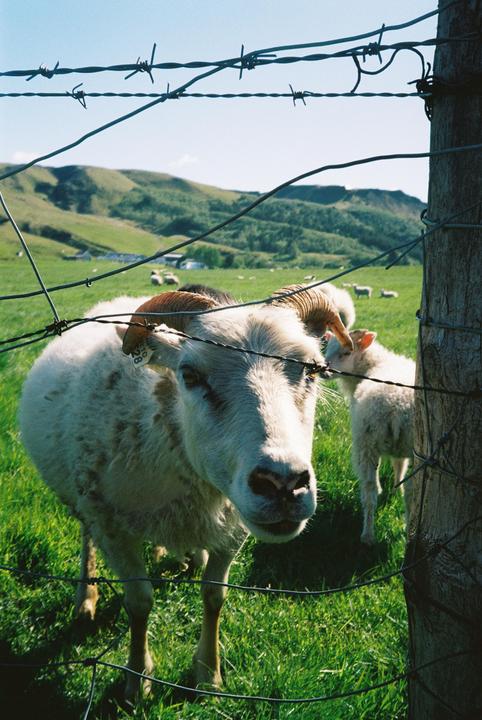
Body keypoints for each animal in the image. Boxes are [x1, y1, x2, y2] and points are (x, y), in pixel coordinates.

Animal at [19, 285, 353, 701]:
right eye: (190, 375)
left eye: (313, 370)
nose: (284, 484)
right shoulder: (110, 524)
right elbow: (139, 602)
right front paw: (137, 681)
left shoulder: (235, 525)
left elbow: (214, 596)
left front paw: (208, 673)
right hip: (81, 496)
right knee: (85, 537)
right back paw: (86, 599)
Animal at [324, 329, 414, 545]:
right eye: (327, 348)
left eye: (347, 353)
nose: (323, 370)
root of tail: (396, 405)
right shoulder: (402, 449)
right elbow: (399, 465)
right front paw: (396, 489)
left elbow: (398, 465)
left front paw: (394, 490)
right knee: (406, 494)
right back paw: (403, 533)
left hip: (365, 444)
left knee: (370, 492)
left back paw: (368, 535)